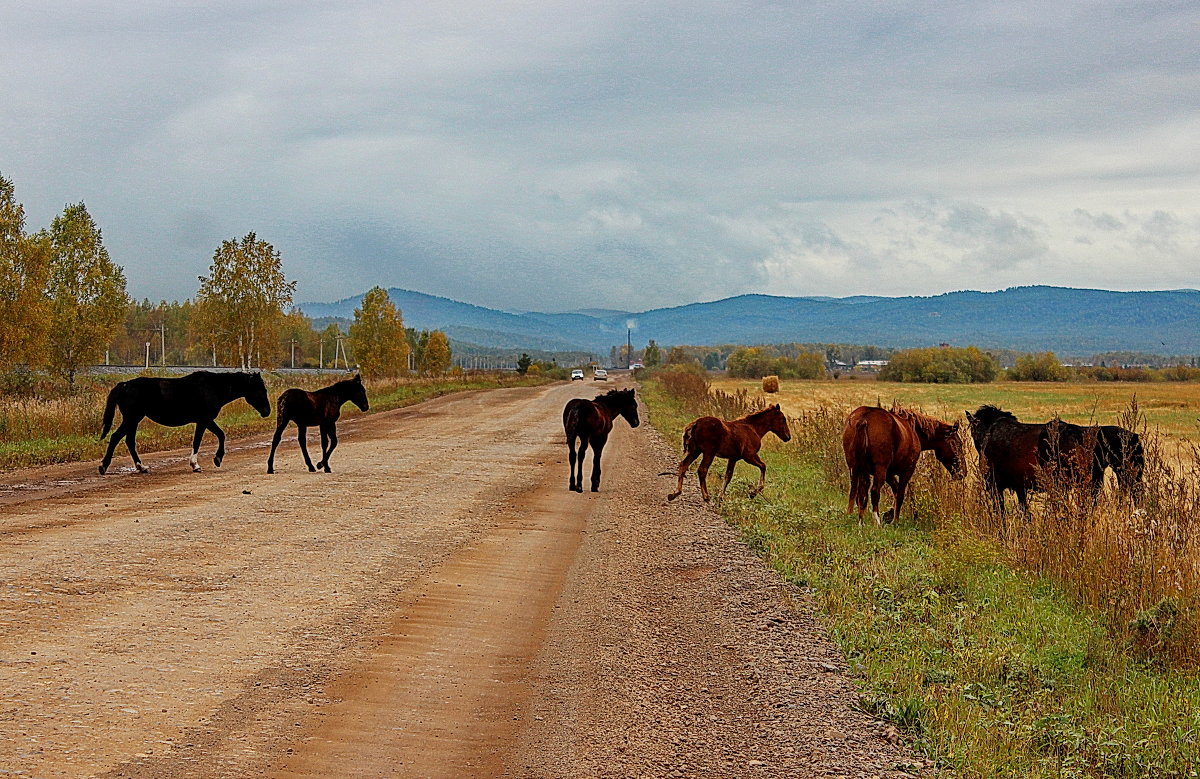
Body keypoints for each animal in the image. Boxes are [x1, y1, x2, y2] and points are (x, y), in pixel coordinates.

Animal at [98, 369, 272, 472]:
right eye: (260, 389)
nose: (267, 411)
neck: (213, 387)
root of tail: (124, 385)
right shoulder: (203, 420)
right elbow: (198, 441)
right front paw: (196, 464)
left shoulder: (207, 420)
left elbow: (221, 435)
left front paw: (217, 459)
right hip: (132, 418)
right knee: (116, 437)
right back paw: (103, 466)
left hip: (134, 420)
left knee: (129, 441)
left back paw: (141, 467)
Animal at [662, 403, 792, 501]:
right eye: (783, 419)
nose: (788, 437)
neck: (753, 428)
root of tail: (695, 423)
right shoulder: (749, 456)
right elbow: (763, 466)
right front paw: (753, 493)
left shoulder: (733, 458)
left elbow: (728, 476)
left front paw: (721, 497)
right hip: (709, 452)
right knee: (702, 470)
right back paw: (706, 496)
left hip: (695, 451)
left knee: (683, 465)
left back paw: (675, 493)